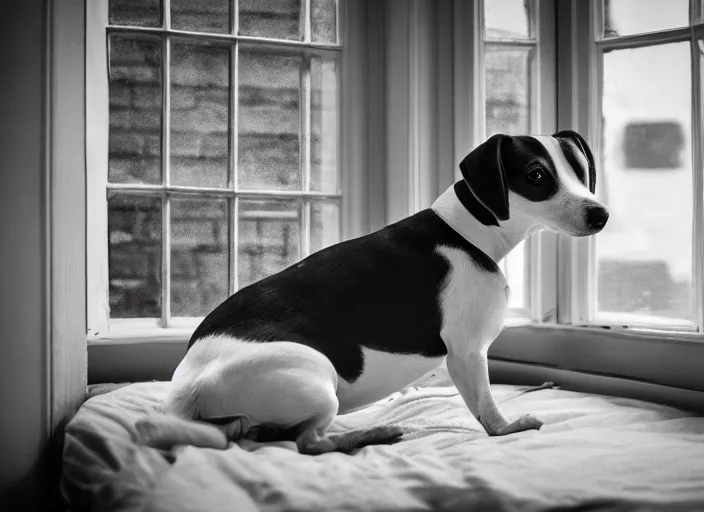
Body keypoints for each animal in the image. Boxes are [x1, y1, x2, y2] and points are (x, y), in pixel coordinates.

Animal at [166, 132, 612, 456]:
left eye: (581, 169)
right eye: (536, 176)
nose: (601, 214)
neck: (466, 232)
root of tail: (187, 395)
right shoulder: (468, 353)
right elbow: (486, 408)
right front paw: (507, 428)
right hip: (317, 378)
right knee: (308, 442)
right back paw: (373, 434)